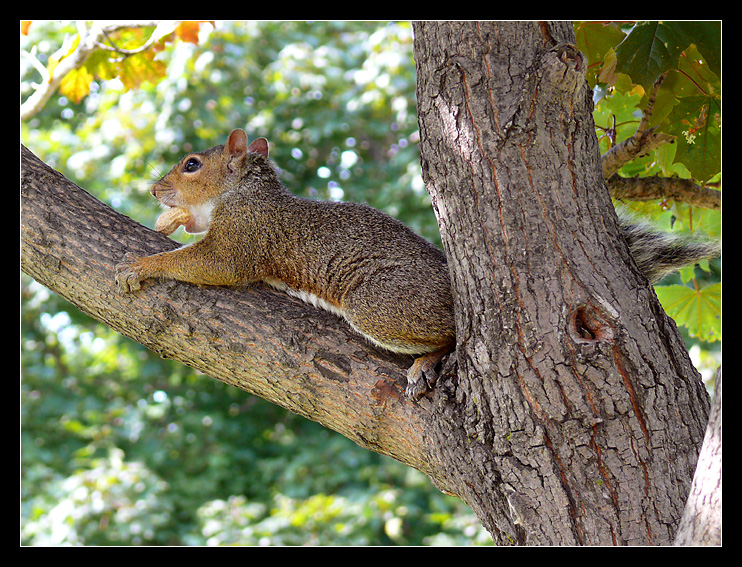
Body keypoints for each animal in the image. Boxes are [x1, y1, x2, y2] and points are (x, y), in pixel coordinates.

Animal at [116, 129, 719, 399]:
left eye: (191, 164)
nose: (153, 189)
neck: (244, 193)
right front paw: (171, 223)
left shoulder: (244, 238)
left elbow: (209, 263)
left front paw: (144, 264)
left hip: (379, 305)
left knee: (448, 336)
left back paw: (424, 362)